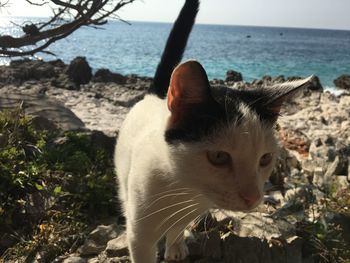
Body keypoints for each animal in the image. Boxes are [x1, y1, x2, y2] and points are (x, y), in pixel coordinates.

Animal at [115, 1, 312, 262]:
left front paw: (175, 245)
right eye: (218, 157)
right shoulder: (140, 235)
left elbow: (179, 225)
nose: (253, 198)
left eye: (265, 159)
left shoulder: (194, 208)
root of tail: (153, 97)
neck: (184, 187)